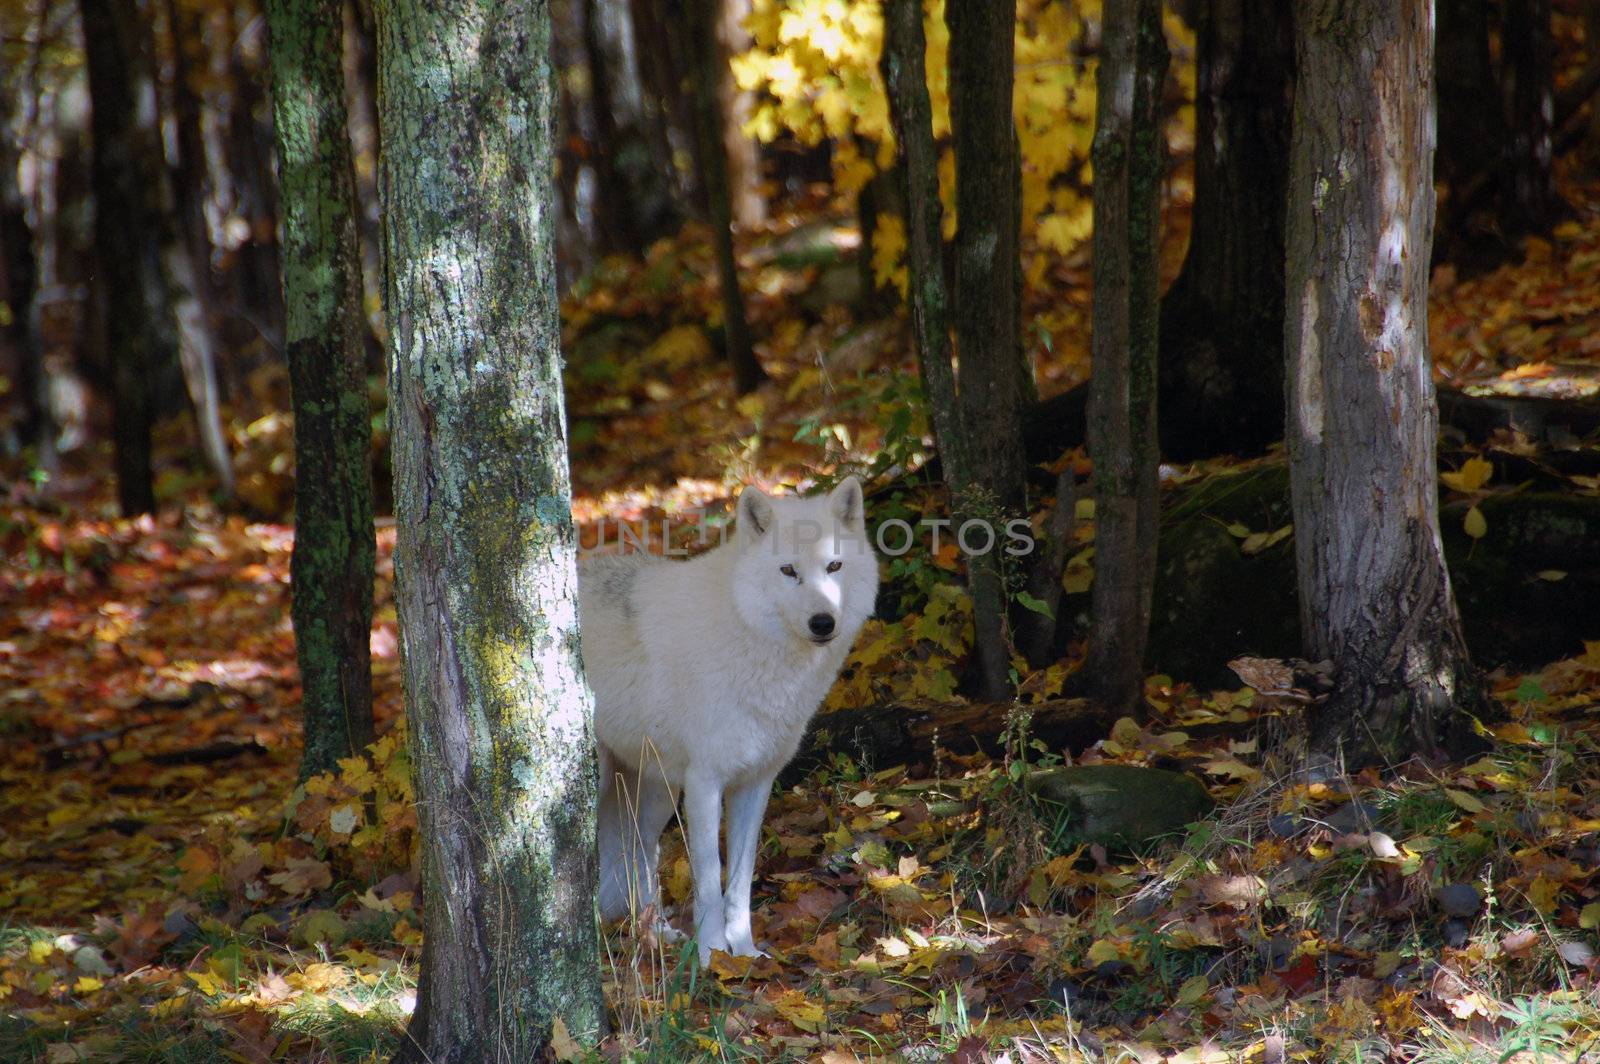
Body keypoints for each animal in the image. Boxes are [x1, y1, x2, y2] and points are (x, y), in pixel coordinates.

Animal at [579, 476, 883, 960]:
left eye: (834, 566)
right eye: (788, 571)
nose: (822, 622)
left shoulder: (755, 783)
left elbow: (739, 880)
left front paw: (744, 953)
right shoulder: (706, 783)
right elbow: (708, 880)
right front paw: (710, 957)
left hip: (657, 791)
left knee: (638, 853)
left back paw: (656, 932)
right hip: (615, 783)